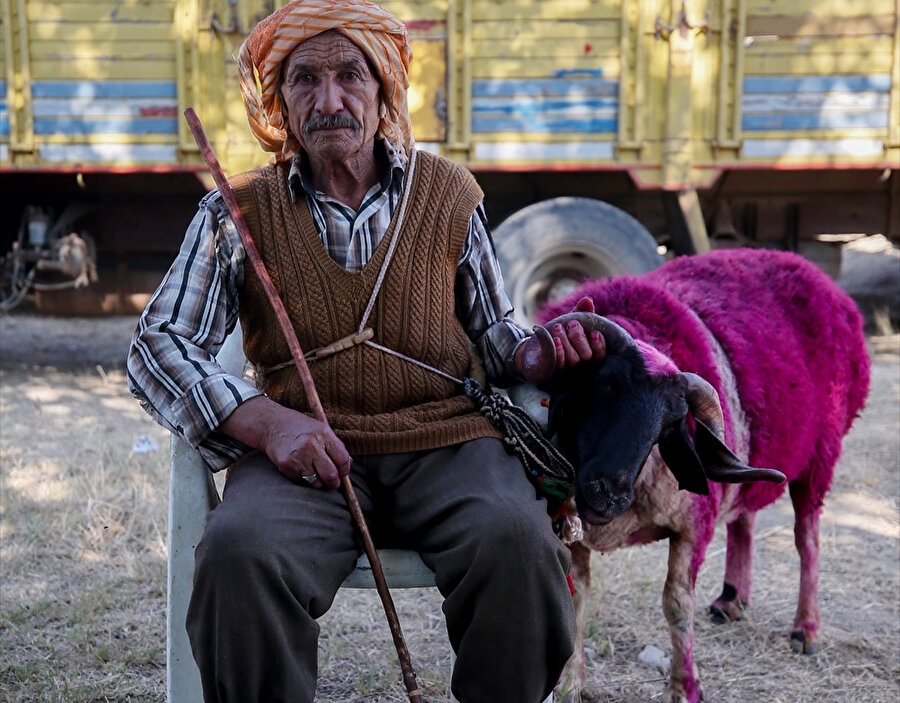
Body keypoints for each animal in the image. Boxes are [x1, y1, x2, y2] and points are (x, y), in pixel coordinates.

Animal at [532, 250, 868, 703]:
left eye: (671, 424)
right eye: (605, 385)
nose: (608, 493)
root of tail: (813, 273)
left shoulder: (692, 527)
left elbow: (676, 604)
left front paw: (684, 687)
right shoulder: (570, 528)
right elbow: (576, 597)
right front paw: (570, 684)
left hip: (820, 458)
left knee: (807, 540)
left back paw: (806, 630)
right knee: (744, 519)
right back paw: (731, 601)